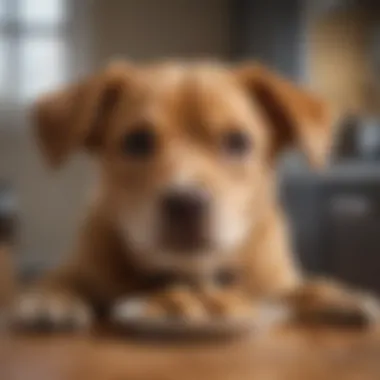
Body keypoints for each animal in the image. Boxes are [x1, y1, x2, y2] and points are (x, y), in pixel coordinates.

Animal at [11, 61, 380, 332]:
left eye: (237, 141)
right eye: (137, 141)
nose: (186, 203)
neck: (191, 275)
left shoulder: (276, 281)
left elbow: (303, 287)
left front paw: (340, 295)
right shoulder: (80, 267)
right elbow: (57, 280)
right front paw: (48, 299)